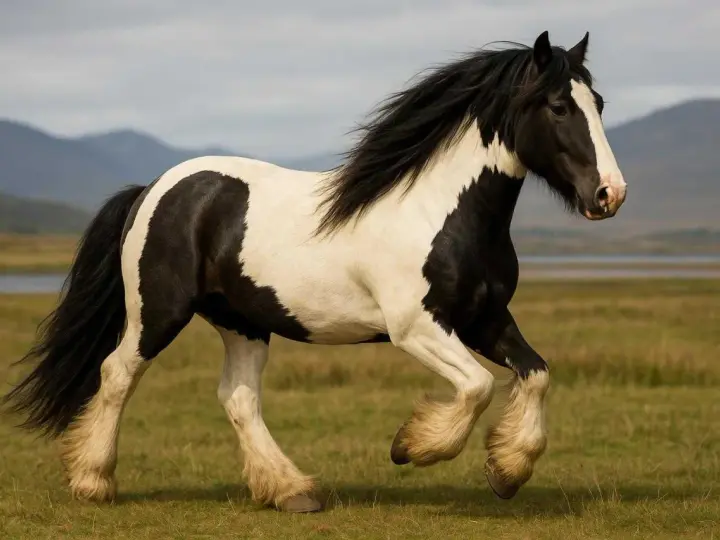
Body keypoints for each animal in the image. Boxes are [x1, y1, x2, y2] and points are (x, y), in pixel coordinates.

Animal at [2, 30, 626, 513]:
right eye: (558, 106)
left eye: (597, 101)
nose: (609, 194)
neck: (443, 212)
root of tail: (155, 188)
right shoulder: (416, 327)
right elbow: (476, 386)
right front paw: (410, 447)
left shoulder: (485, 319)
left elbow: (536, 373)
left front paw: (506, 471)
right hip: (157, 314)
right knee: (116, 374)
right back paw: (94, 482)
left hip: (244, 322)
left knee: (238, 398)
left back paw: (291, 491)